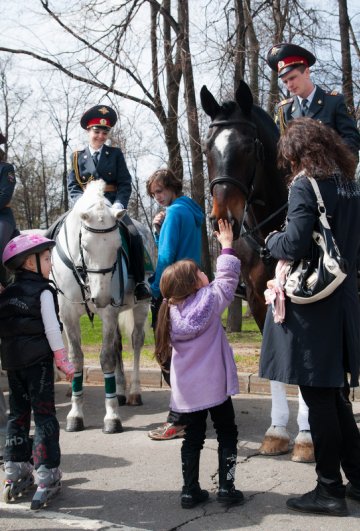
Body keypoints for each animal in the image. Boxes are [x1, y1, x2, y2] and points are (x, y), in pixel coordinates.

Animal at [50, 181, 152, 434]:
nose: (102, 297)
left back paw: (134, 392)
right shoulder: (67, 315)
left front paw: (112, 417)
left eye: (118, 246)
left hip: (140, 307)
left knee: (136, 342)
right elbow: (76, 358)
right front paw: (75, 415)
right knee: (118, 346)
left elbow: (106, 358)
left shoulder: (108, 313)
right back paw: (122, 391)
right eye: (85, 246)